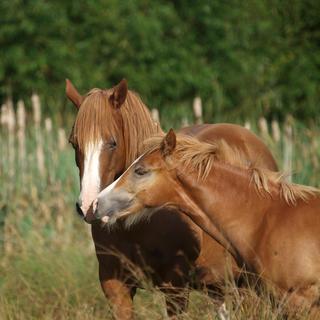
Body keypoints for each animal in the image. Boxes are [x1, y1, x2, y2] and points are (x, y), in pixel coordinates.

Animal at [65, 77, 278, 318]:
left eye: (112, 143)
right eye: (74, 143)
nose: (88, 206)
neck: (138, 225)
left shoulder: (175, 288)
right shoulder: (116, 287)